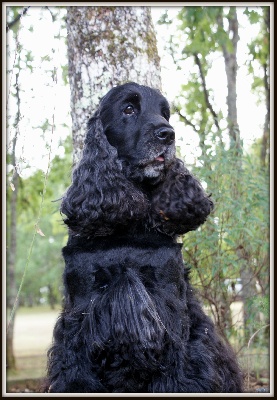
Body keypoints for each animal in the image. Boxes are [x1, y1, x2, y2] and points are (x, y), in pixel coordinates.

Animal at [46, 82, 243, 394]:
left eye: (165, 113)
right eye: (129, 109)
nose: (168, 134)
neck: (127, 227)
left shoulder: (168, 304)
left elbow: (177, 373)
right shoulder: (82, 308)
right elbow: (77, 373)